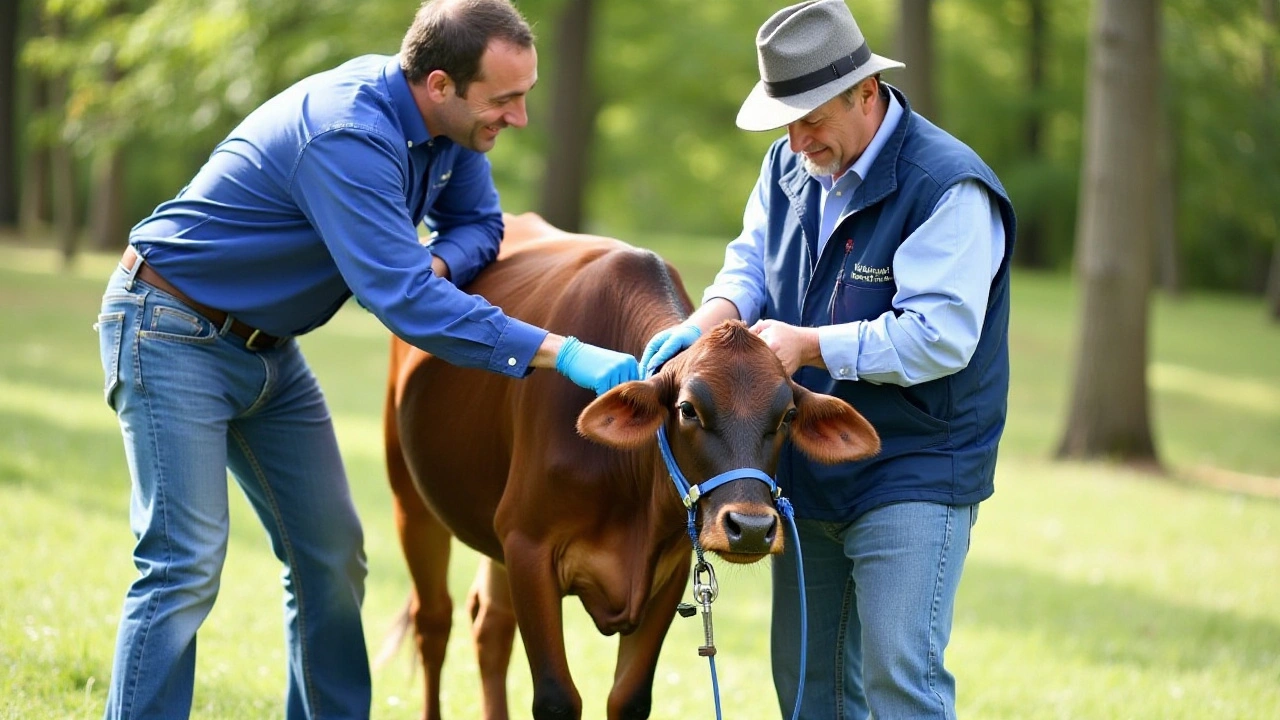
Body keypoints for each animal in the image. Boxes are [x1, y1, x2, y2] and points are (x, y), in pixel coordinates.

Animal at [378, 212, 880, 717]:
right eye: (687, 410)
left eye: (787, 417)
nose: (752, 528)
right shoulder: (527, 543)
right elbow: (557, 697)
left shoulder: (670, 568)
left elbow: (630, 697)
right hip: (410, 499)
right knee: (434, 622)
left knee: (490, 625)